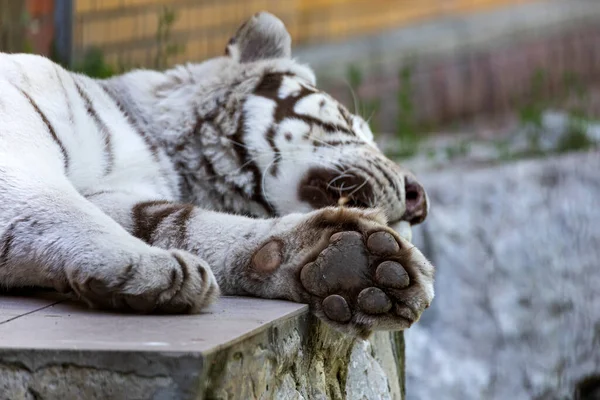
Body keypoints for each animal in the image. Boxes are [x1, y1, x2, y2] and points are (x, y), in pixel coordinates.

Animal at [0, 13, 432, 338]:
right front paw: (146, 265)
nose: (420, 200)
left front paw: (348, 263)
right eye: (349, 124)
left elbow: (179, 221)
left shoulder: (116, 193)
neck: (169, 152)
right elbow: (49, 201)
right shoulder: (19, 137)